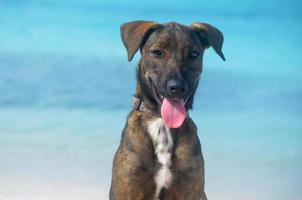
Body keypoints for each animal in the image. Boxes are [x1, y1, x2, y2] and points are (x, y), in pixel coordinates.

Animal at [110, 20, 224, 200]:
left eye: (194, 54)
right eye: (157, 52)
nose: (177, 88)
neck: (161, 122)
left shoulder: (190, 189)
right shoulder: (127, 189)